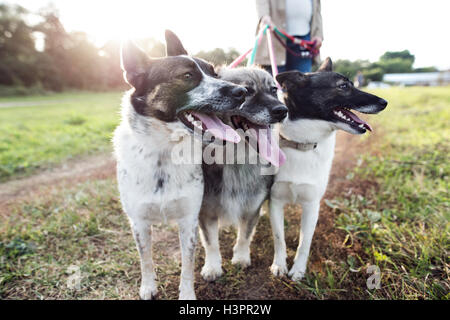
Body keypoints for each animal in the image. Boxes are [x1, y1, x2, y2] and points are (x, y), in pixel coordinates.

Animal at [112, 30, 246, 300]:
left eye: (215, 74)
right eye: (187, 76)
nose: (242, 92)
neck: (164, 152)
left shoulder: (188, 221)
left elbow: (187, 266)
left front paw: (186, 295)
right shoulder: (139, 223)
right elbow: (146, 260)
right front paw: (148, 288)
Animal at [198, 67, 288, 280]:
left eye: (273, 90)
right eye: (245, 91)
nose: (282, 111)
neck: (236, 159)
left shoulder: (251, 207)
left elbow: (245, 235)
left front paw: (240, 257)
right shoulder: (206, 211)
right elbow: (211, 243)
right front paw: (212, 266)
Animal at [268, 57, 386, 280]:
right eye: (343, 86)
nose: (385, 102)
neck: (302, 144)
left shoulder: (312, 205)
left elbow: (304, 243)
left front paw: (298, 270)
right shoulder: (275, 201)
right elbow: (279, 238)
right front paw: (279, 264)